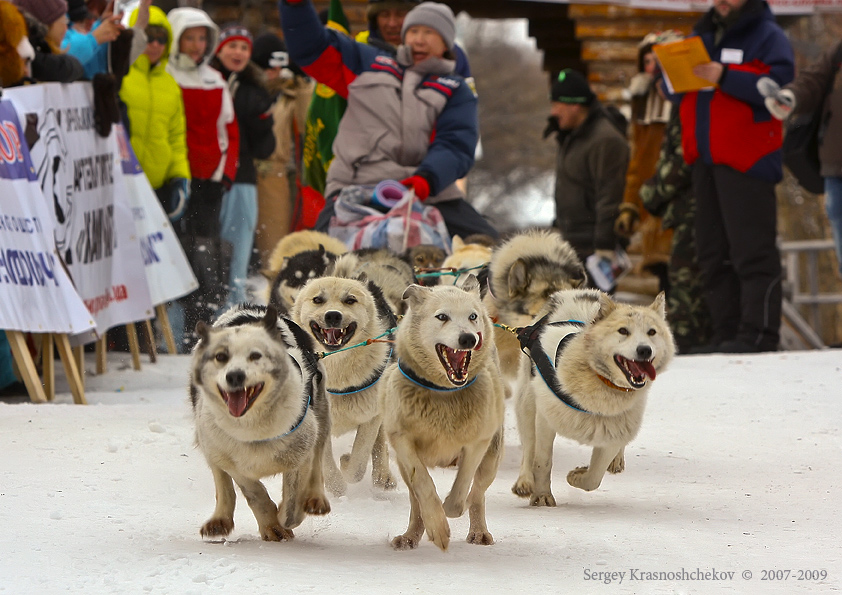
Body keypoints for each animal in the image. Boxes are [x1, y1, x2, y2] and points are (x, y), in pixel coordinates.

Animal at [190, 304, 332, 544]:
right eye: (221, 357)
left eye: (256, 356)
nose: (235, 376)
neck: (253, 426)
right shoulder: (232, 460)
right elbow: (254, 492)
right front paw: (271, 525)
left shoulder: (302, 450)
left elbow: (292, 506)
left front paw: (284, 517)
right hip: (209, 441)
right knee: (221, 478)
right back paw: (220, 519)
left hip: (321, 413)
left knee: (318, 458)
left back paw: (315, 498)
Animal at [290, 278, 398, 496]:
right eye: (317, 299)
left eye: (350, 300)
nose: (333, 315)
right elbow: (326, 461)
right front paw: (335, 486)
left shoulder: (371, 416)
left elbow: (359, 461)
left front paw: (347, 465)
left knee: (380, 444)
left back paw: (382, 475)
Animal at [378, 278, 506, 552]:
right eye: (442, 316)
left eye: (472, 316)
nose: (468, 338)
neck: (443, 394)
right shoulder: (402, 440)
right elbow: (423, 485)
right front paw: (437, 526)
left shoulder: (477, 443)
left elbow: (463, 489)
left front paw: (452, 508)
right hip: (403, 466)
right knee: (415, 500)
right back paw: (411, 535)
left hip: (492, 456)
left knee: (478, 494)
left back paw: (478, 531)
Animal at [508, 292, 672, 506]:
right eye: (623, 330)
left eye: (652, 332)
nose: (645, 350)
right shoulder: (545, 419)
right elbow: (542, 461)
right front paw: (542, 495)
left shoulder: (612, 432)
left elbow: (593, 478)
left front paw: (577, 475)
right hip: (527, 403)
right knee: (529, 446)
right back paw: (525, 481)